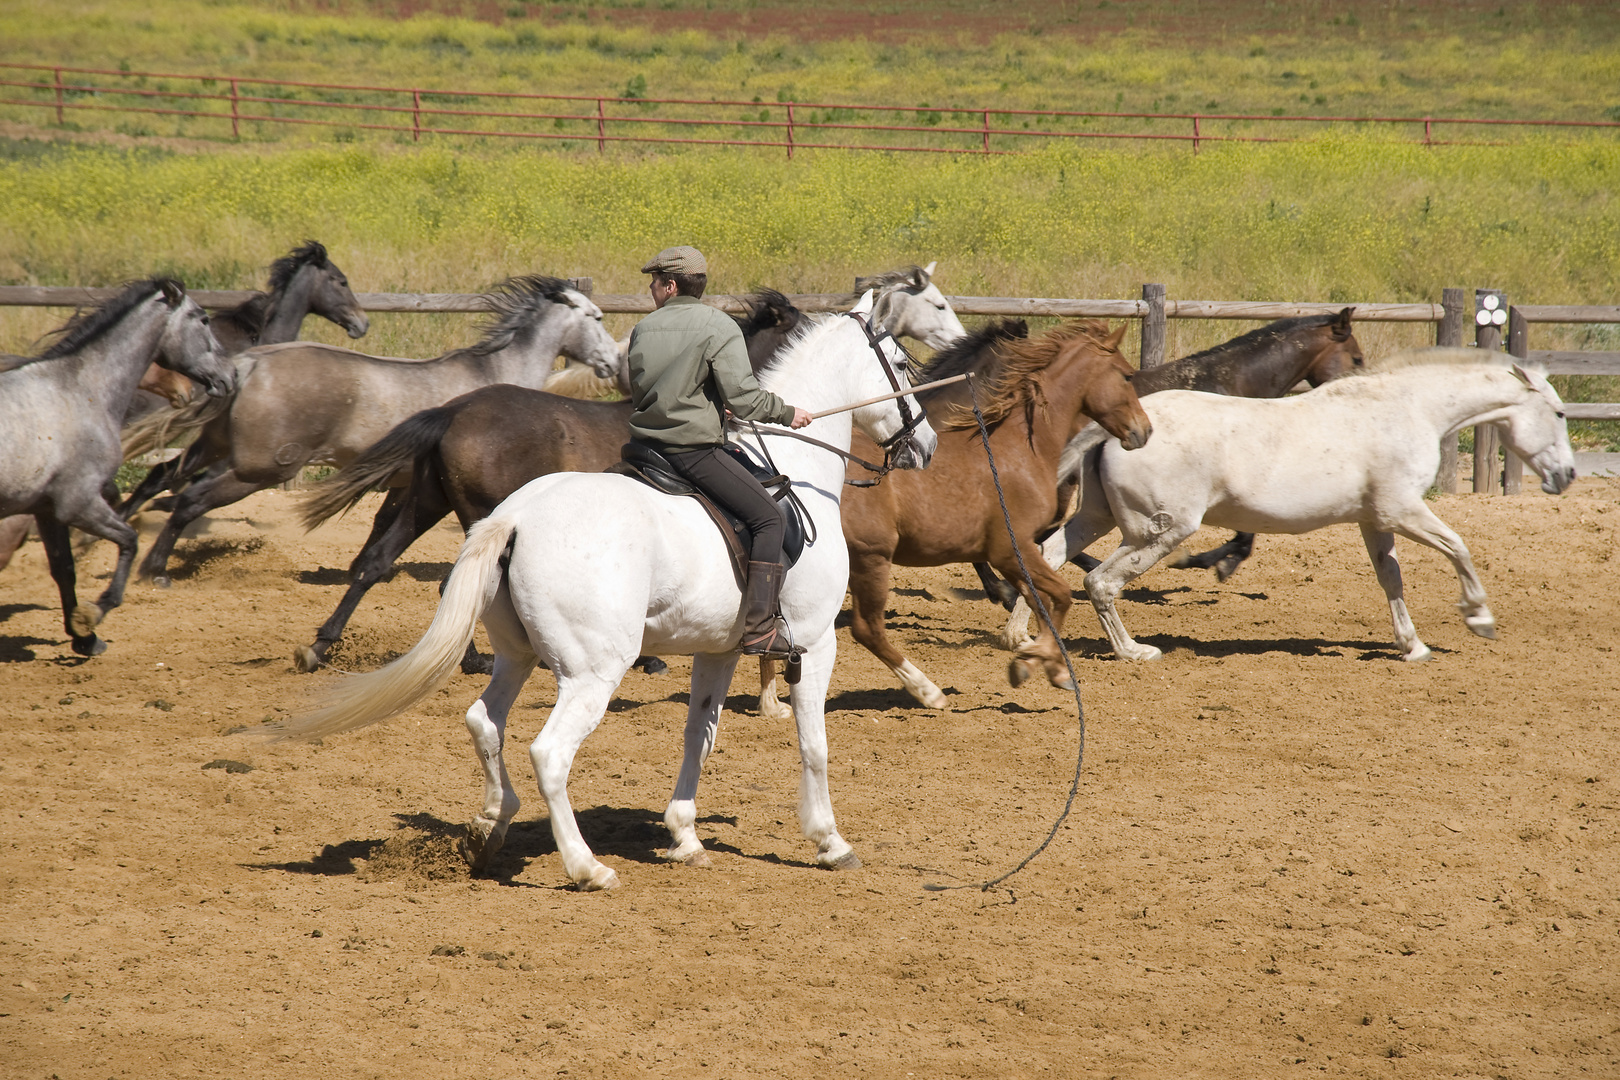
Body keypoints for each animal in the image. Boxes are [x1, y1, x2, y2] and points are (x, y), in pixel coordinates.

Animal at [0, 278, 234, 660]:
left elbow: (64, 569)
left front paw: (85, 639)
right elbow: (129, 540)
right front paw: (95, 614)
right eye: (203, 320)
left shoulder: (47, 509)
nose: (231, 375)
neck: (79, 392)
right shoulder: (78, 504)